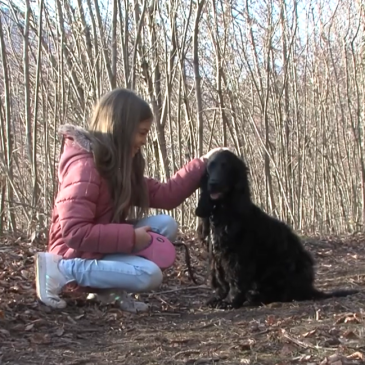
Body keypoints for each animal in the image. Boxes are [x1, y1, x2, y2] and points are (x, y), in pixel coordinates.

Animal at [195, 149, 356, 308]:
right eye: (210, 167)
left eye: (226, 166)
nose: (213, 183)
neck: (223, 211)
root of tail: (309, 288)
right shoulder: (216, 256)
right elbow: (220, 280)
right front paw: (217, 298)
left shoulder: (237, 256)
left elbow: (235, 279)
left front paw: (230, 301)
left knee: (284, 294)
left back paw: (255, 297)